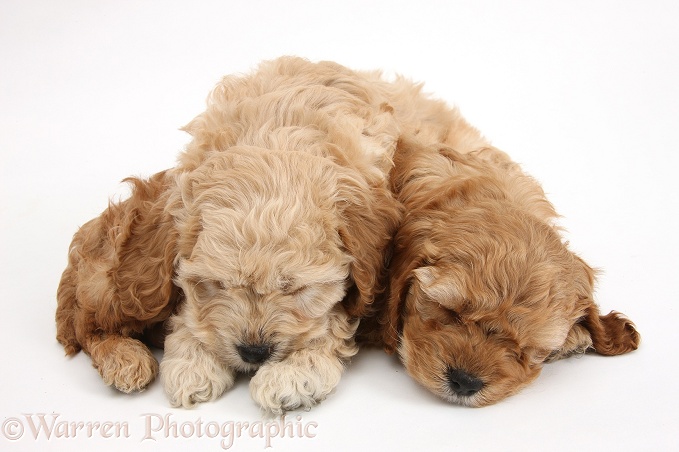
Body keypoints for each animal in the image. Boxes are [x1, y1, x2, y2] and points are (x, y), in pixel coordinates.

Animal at [159, 57, 404, 414]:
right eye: (219, 284)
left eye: (296, 289)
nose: (253, 353)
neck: (276, 137)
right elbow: (193, 312)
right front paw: (192, 361)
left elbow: (329, 322)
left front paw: (293, 374)